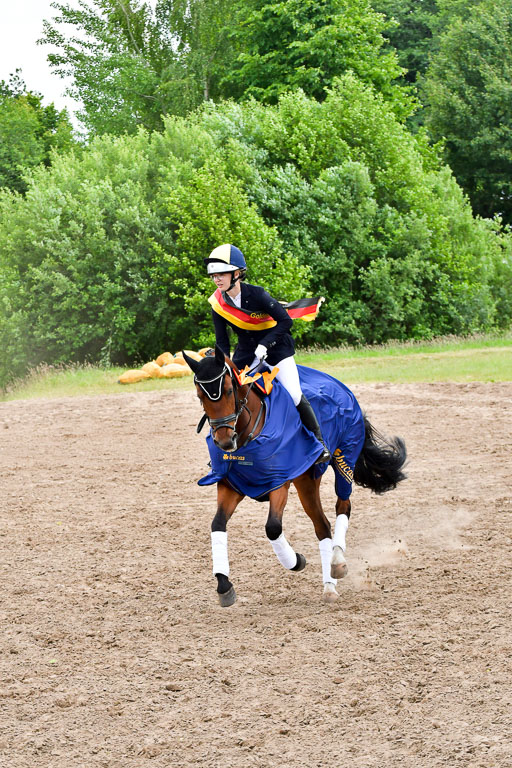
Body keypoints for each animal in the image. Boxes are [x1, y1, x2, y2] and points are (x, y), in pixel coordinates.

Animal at [182, 345, 407, 607]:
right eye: (200, 396)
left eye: (229, 390)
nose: (225, 442)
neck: (249, 433)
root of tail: (342, 387)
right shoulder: (231, 485)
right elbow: (217, 524)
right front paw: (223, 585)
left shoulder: (279, 482)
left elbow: (272, 528)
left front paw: (296, 561)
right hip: (306, 481)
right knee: (322, 526)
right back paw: (329, 585)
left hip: (345, 456)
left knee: (342, 506)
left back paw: (337, 562)